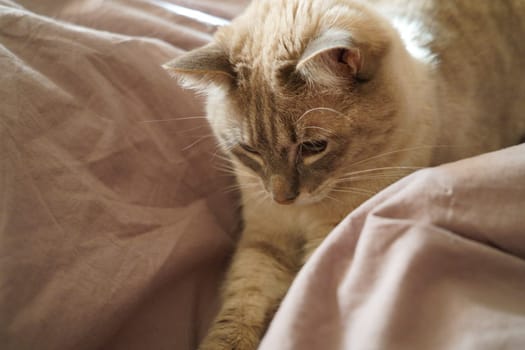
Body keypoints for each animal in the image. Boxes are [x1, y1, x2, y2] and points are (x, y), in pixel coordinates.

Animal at [164, 1, 524, 348]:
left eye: (313, 147)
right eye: (250, 150)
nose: (283, 198)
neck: (303, 215)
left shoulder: (330, 238)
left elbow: (293, 304)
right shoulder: (265, 240)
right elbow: (241, 306)